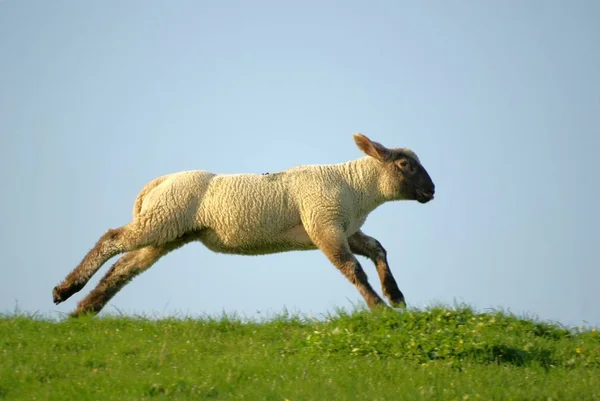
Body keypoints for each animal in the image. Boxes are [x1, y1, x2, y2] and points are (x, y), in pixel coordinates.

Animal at [51, 134, 436, 316]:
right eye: (405, 165)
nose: (432, 190)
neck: (357, 187)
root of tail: (158, 183)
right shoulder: (323, 225)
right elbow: (353, 268)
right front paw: (378, 307)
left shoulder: (345, 228)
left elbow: (377, 249)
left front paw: (395, 296)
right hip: (161, 219)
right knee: (112, 239)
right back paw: (65, 290)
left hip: (168, 231)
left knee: (125, 267)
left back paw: (85, 310)